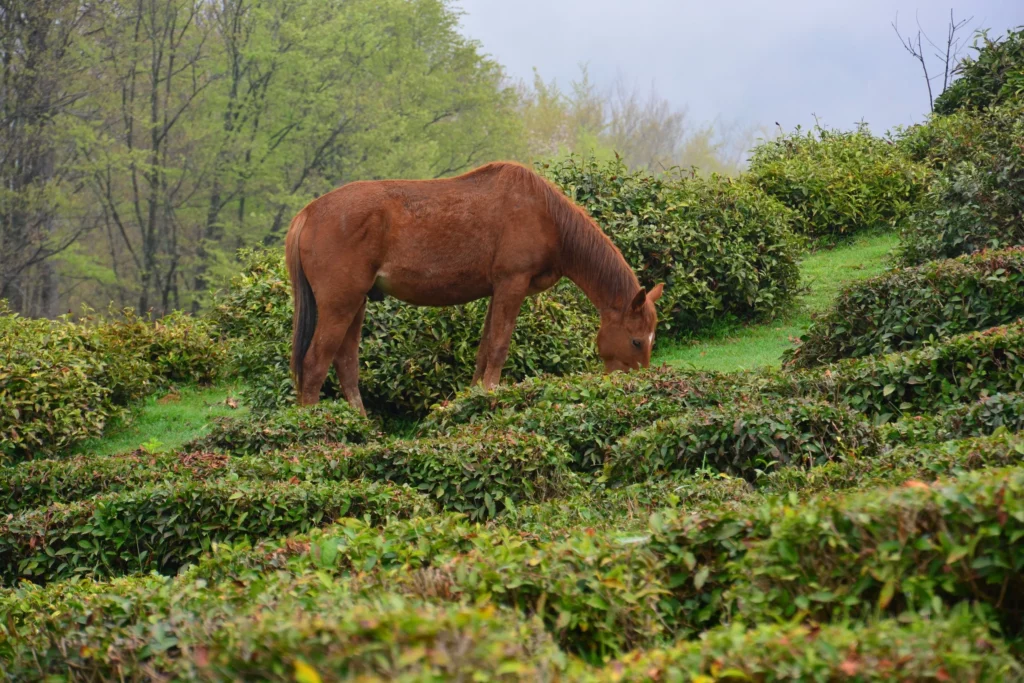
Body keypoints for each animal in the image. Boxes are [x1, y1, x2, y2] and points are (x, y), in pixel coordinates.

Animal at [286, 161, 663, 417]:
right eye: (635, 341)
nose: (635, 387)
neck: (546, 215)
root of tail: (308, 214)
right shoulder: (512, 284)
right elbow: (498, 347)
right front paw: (492, 395)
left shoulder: (497, 291)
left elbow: (484, 349)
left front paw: (473, 399)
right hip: (340, 304)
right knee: (316, 362)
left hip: (357, 303)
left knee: (345, 364)